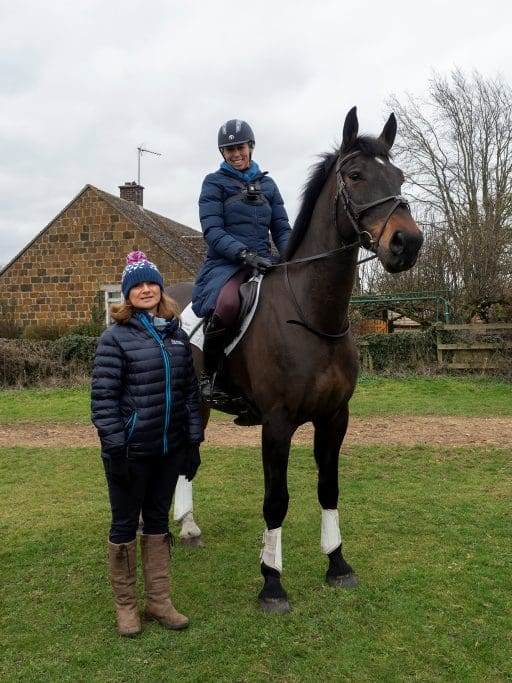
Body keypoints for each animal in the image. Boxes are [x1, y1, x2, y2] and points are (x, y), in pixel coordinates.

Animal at [168, 107, 423, 612]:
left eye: (399, 176)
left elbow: (329, 488)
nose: (407, 242)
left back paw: (188, 525)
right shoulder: (277, 423)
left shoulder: (335, 418)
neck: (312, 314)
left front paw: (337, 564)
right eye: (355, 175)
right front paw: (272, 582)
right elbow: (276, 499)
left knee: (189, 456)